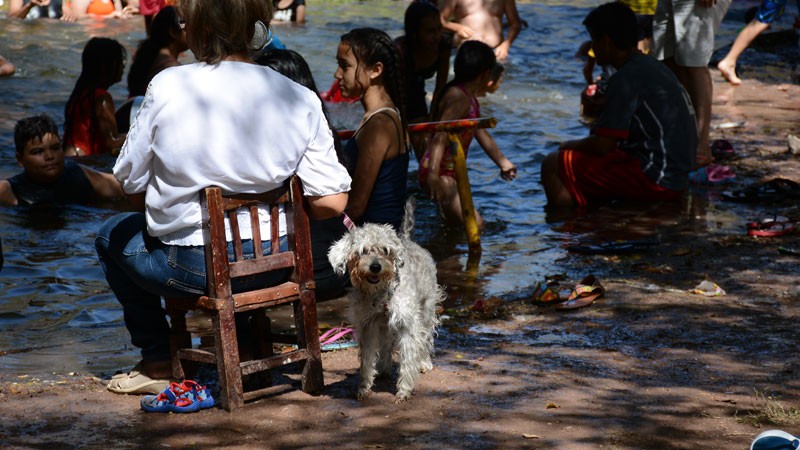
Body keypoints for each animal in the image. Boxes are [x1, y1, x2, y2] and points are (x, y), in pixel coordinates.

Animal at [328, 200, 446, 400]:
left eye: (386, 250)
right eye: (362, 251)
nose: (375, 266)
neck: (379, 294)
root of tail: (407, 239)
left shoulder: (407, 324)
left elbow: (408, 358)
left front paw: (404, 390)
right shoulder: (367, 325)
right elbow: (367, 359)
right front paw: (364, 387)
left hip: (427, 310)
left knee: (426, 336)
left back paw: (424, 362)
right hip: (384, 324)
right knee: (385, 344)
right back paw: (383, 369)